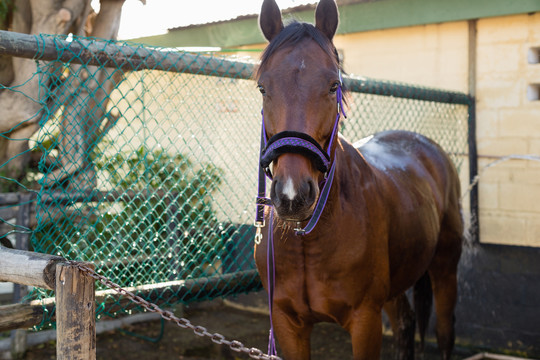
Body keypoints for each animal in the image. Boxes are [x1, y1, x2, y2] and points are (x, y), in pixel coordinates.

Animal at [251, 0, 462, 360]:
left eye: (333, 85)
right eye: (263, 87)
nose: (292, 195)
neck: (309, 238)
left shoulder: (365, 320)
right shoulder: (286, 322)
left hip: (445, 269)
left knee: (446, 332)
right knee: (405, 324)